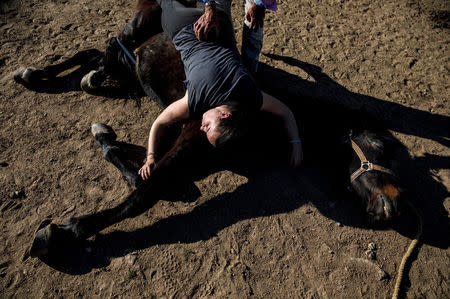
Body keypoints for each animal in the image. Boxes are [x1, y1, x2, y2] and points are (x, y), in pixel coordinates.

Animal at [12, 0, 402, 260]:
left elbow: (143, 171)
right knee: (109, 43)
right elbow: (142, 194)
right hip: (140, 24)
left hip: (132, 62)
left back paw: (47, 75)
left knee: (98, 54)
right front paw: (57, 234)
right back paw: (44, 75)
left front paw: (108, 140)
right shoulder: (191, 139)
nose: (394, 208)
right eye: (381, 145)